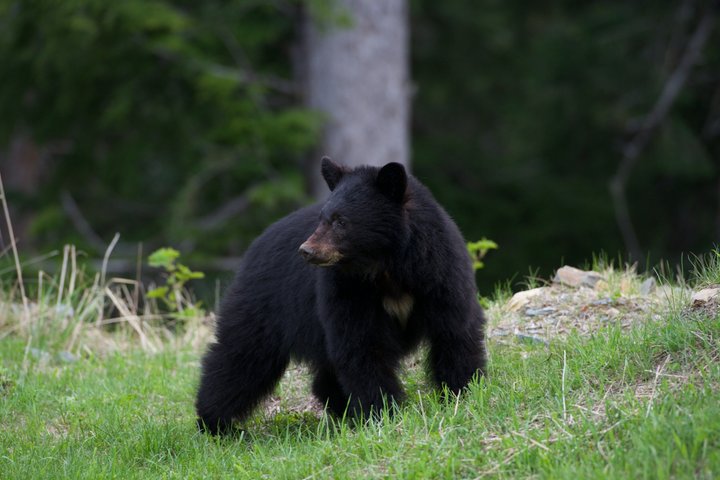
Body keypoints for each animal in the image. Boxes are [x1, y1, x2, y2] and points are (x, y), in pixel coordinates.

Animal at [195, 158, 486, 435]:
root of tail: (254, 246)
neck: (385, 266)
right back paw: (216, 423)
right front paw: (383, 411)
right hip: (265, 307)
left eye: (341, 221)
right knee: (240, 360)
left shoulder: (438, 274)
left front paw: (462, 391)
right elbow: (361, 346)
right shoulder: (347, 290)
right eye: (322, 218)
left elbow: (453, 331)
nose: (306, 250)